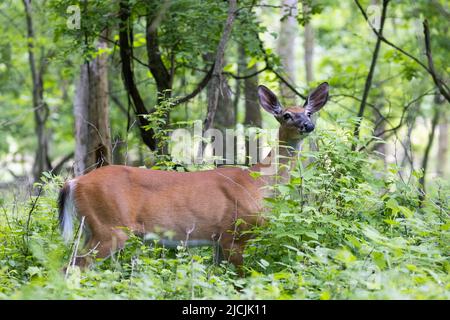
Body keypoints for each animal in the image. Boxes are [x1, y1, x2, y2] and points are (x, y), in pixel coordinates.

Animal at [58, 83, 328, 272]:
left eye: (308, 112)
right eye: (286, 115)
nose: (308, 126)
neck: (258, 182)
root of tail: (74, 182)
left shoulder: (218, 239)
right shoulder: (235, 233)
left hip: (92, 228)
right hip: (111, 227)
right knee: (72, 267)